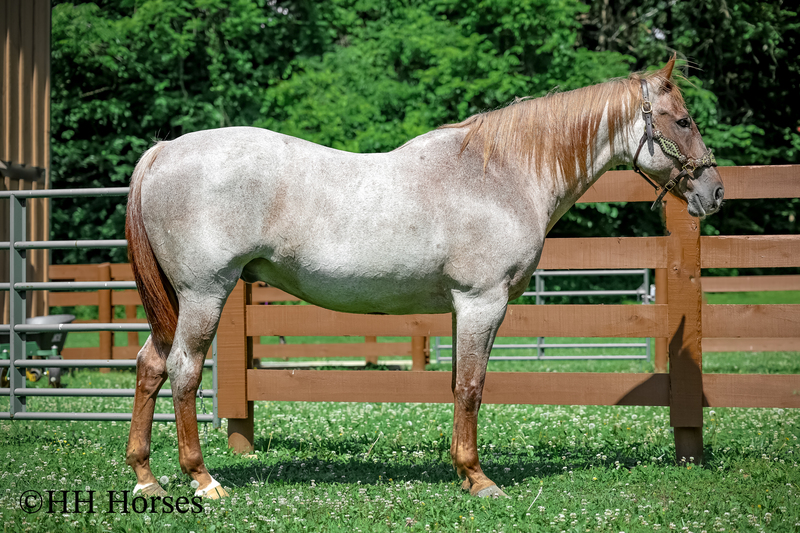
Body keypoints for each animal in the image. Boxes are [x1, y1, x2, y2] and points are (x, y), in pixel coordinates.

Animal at [124, 57, 724, 499]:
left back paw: (147, 480)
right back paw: (203, 481)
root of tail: (164, 151)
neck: (500, 175)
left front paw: (464, 471)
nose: (714, 192)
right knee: (183, 371)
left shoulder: (463, 308)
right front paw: (480, 480)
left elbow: (458, 384)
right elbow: (472, 387)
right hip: (205, 294)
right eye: (683, 120)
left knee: (151, 365)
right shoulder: (482, 303)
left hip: (178, 302)